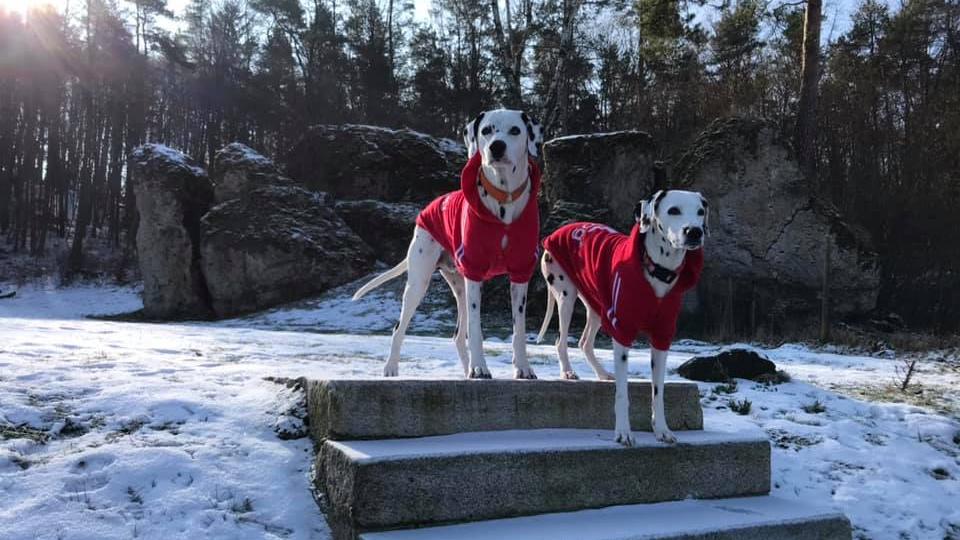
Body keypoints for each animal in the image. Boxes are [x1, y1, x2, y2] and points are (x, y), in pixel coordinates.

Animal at [354, 108, 548, 380]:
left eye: (515, 130)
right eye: (486, 130)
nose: (496, 146)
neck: (504, 200)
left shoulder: (520, 274)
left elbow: (518, 330)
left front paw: (522, 367)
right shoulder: (475, 273)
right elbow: (476, 330)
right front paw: (480, 367)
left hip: (461, 287)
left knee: (457, 336)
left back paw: (467, 370)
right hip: (419, 283)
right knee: (399, 328)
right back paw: (392, 367)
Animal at [536, 192, 708, 446]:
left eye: (700, 212)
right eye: (674, 210)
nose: (694, 232)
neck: (658, 272)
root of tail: (565, 227)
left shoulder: (662, 338)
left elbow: (658, 392)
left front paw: (662, 429)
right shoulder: (623, 334)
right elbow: (622, 393)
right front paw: (624, 432)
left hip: (597, 307)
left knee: (584, 342)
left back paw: (601, 373)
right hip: (566, 297)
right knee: (561, 340)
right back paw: (567, 371)